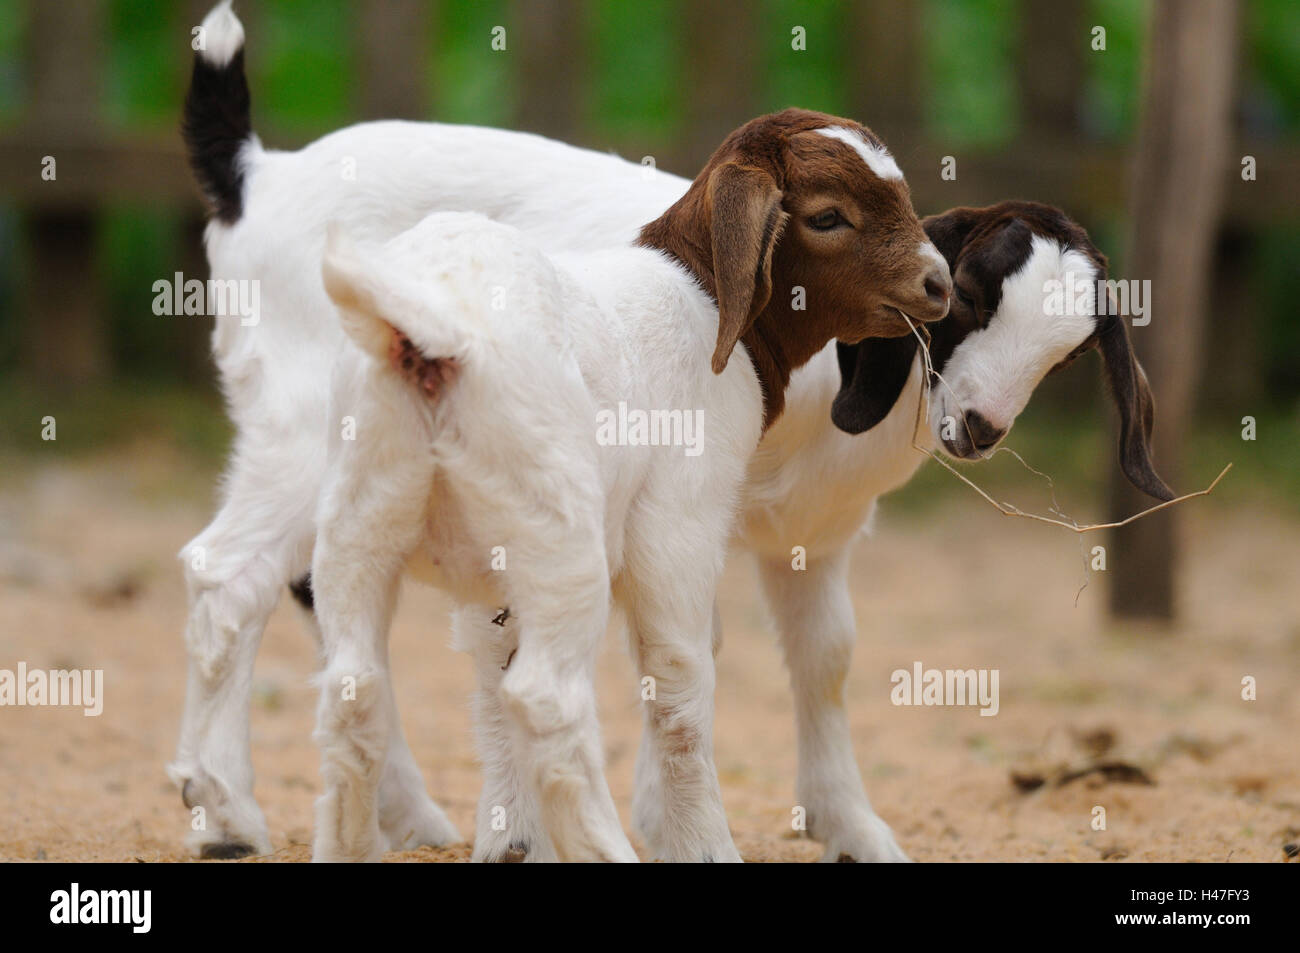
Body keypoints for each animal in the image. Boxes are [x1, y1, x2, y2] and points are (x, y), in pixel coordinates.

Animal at [172, 1, 950, 861]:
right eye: (827, 216)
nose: (939, 283)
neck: (701, 296)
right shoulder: (677, 523)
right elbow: (679, 684)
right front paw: (699, 839)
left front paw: (517, 836)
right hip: (523, 522)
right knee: (532, 690)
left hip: (363, 509)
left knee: (350, 686)